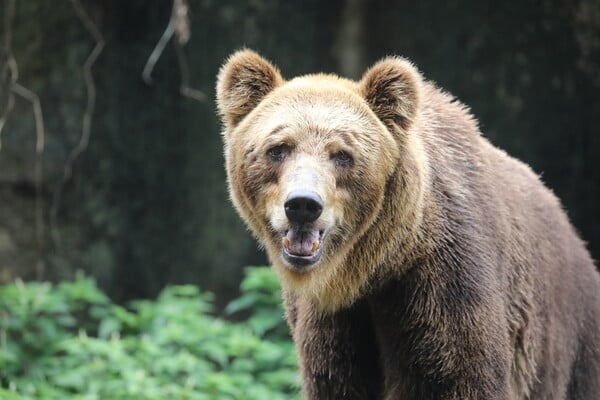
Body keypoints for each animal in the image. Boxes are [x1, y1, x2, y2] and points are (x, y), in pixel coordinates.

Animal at [216, 50, 600, 400]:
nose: (303, 205)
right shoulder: (333, 324)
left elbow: (460, 375)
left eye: (343, 155)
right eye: (278, 148)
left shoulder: (445, 282)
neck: (372, 268)